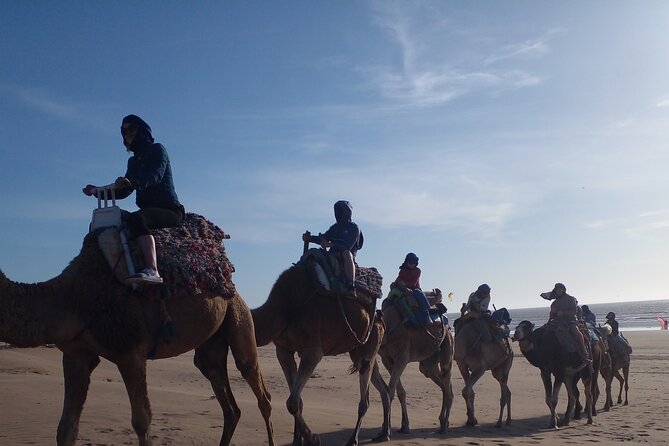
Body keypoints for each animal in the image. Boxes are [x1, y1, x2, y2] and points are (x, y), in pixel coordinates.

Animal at [0, 233, 274, 446]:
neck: (71, 297)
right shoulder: (76, 354)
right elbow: (66, 429)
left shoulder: (130, 352)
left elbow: (142, 421)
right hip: (210, 346)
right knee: (229, 404)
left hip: (239, 317)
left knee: (259, 390)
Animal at [252, 264, 386, 446]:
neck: (285, 305)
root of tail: (380, 318)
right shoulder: (283, 350)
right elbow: (298, 400)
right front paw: (297, 441)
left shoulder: (312, 350)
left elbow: (292, 402)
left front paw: (313, 439)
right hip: (357, 351)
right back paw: (384, 434)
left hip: (370, 344)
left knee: (364, 398)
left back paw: (353, 440)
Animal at [370, 296, 454, 440]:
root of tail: (447, 325)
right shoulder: (387, 360)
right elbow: (399, 392)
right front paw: (403, 426)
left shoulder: (402, 357)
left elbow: (390, 391)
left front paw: (386, 432)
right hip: (429, 361)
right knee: (442, 384)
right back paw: (443, 421)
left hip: (447, 347)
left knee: (447, 384)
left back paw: (443, 428)